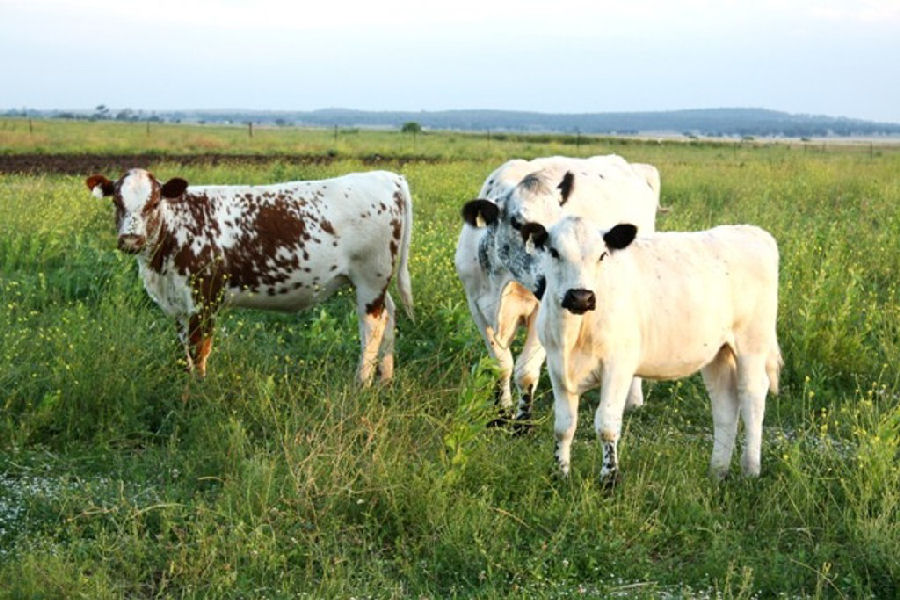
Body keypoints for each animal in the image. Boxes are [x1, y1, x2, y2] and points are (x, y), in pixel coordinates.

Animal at [84, 169, 414, 384]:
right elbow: (182, 350)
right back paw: (385, 379)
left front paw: (197, 391)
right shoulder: (177, 305)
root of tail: (387, 177)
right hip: (371, 282)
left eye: (153, 204)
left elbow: (199, 349)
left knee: (371, 328)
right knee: (389, 316)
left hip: (371, 277)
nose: (130, 240)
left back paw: (362, 384)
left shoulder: (205, 299)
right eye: (117, 202)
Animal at [524, 218, 784, 480]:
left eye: (602, 255)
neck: (573, 334)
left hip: (752, 342)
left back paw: (750, 469)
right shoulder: (557, 366)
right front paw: (560, 474)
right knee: (725, 401)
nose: (581, 297)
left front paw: (609, 478)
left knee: (752, 394)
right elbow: (563, 426)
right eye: (554, 252)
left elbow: (607, 424)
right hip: (719, 352)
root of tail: (750, 231)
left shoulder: (618, 365)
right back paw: (717, 471)